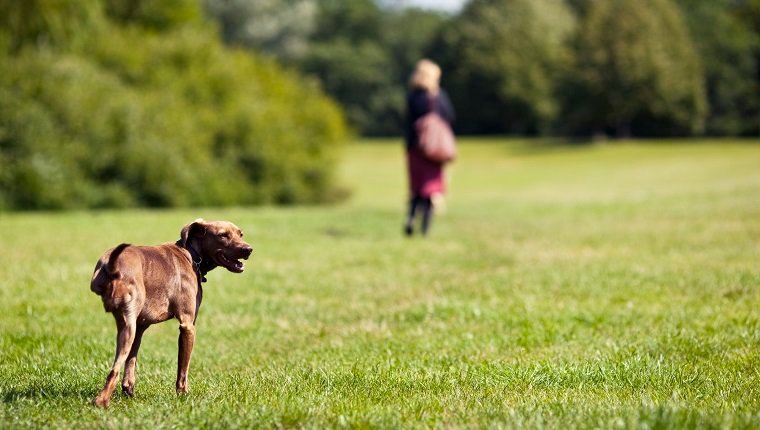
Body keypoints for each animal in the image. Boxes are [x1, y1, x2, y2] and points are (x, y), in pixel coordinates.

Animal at [88, 218, 249, 406]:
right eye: (223, 235)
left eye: (240, 234)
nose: (248, 249)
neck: (191, 254)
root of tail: (111, 265)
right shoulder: (188, 325)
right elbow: (183, 369)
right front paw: (183, 395)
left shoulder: (140, 327)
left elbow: (131, 362)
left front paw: (129, 391)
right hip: (128, 327)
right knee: (114, 369)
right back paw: (101, 401)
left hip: (128, 325)